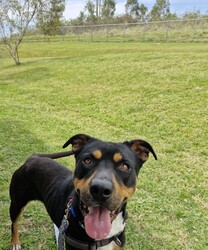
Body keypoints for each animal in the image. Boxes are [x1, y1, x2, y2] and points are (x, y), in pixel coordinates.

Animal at [9, 134, 156, 249]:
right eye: (87, 160)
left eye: (125, 166)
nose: (100, 189)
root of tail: (33, 158)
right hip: (17, 202)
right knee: (14, 223)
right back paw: (15, 242)